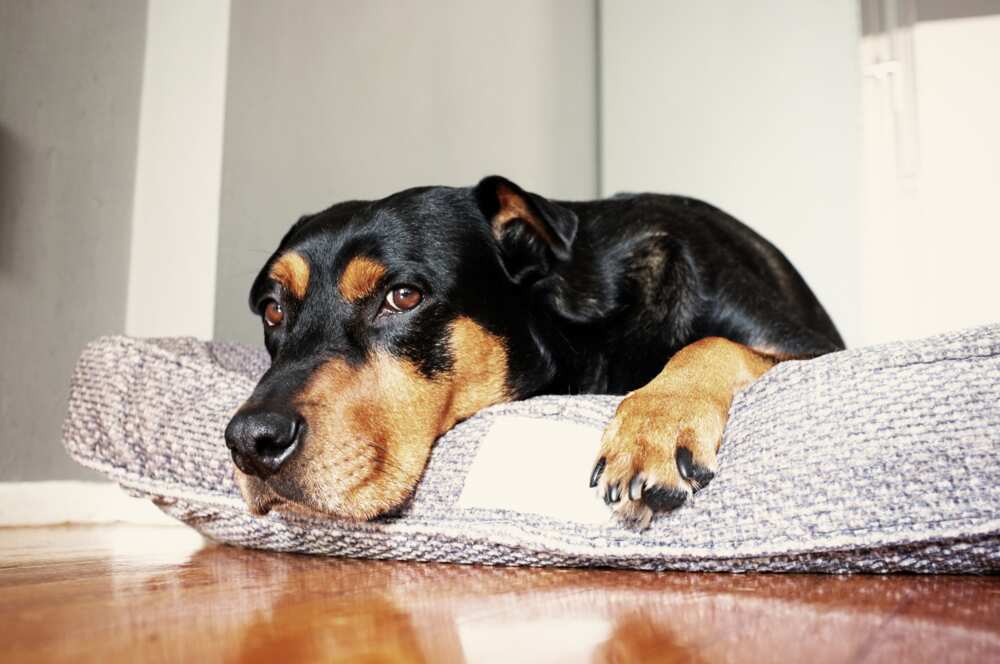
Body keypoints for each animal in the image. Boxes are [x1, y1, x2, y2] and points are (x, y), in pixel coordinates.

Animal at [227, 175, 844, 528]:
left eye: (403, 296)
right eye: (272, 310)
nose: (250, 441)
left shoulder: (816, 350)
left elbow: (712, 342)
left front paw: (655, 429)